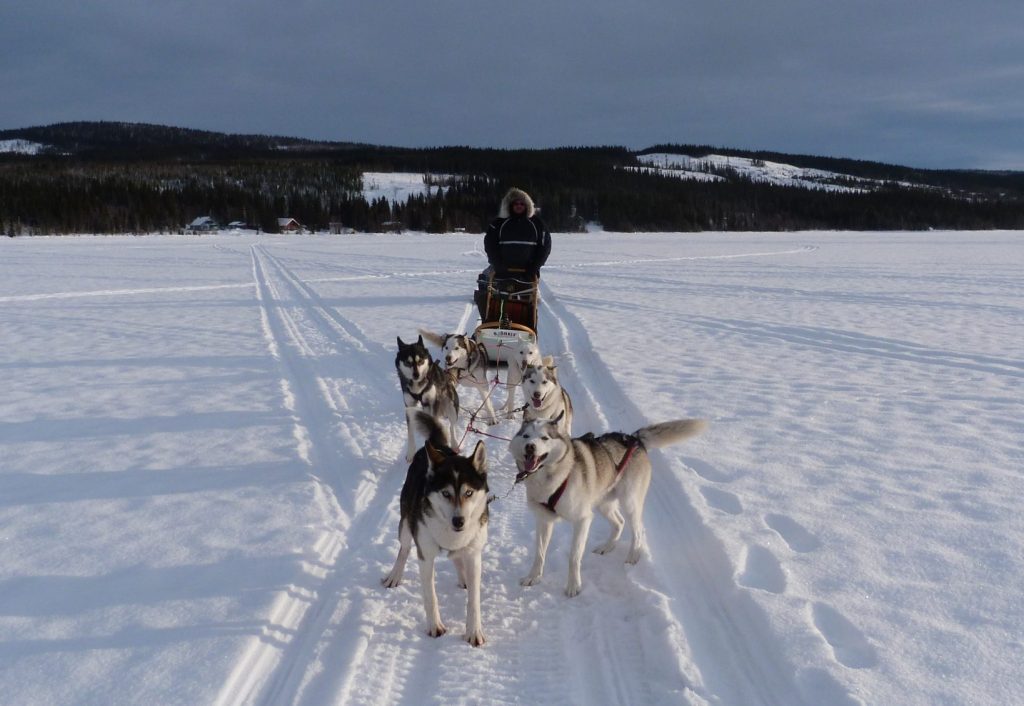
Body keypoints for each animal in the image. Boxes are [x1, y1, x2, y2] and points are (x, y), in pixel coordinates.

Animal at [382, 411, 489, 646]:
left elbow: (474, 600)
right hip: (406, 525)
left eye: (469, 493)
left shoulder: (474, 554)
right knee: (404, 549)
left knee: (457, 557)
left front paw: (474, 630)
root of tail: (435, 446)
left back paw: (463, 576)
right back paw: (395, 575)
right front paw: (435, 626)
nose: (459, 521)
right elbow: (430, 596)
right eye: (446, 493)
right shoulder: (425, 557)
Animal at [509, 414, 707, 597]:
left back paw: (633, 556)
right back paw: (607, 547)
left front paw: (574, 585)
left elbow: (574, 556)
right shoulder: (544, 520)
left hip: (629, 503)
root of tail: (634, 439)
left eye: (544, 438)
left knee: (638, 529)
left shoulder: (583, 520)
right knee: (619, 522)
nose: (530, 447)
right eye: (526, 436)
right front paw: (533, 577)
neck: (551, 478)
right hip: (604, 504)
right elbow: (539, 553)